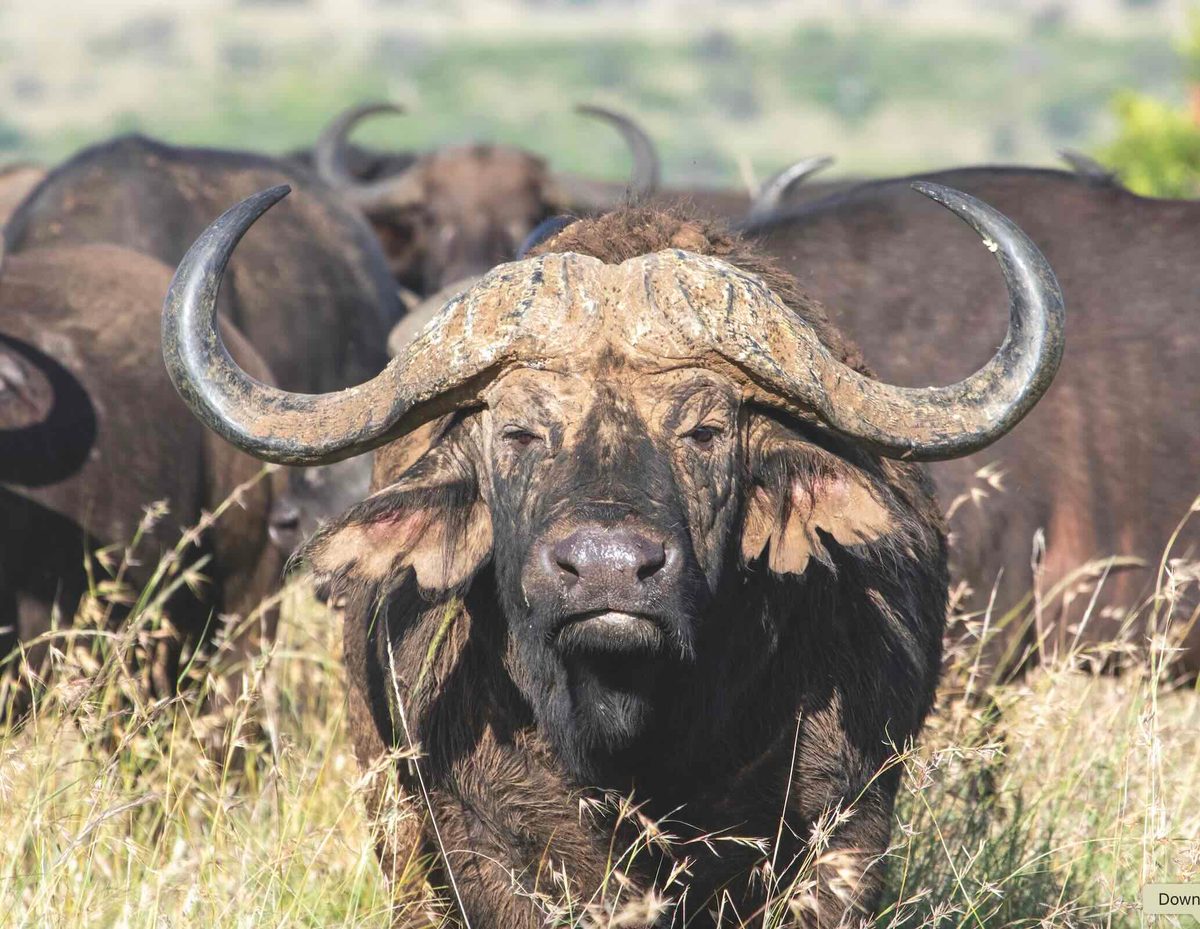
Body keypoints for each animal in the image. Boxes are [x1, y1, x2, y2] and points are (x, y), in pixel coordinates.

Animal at [162, 181, 1062, 925]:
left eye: (705, 430)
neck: (635, 743)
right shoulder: (477, 851)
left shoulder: (841, 838)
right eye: (518, 431)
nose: (606, 569)